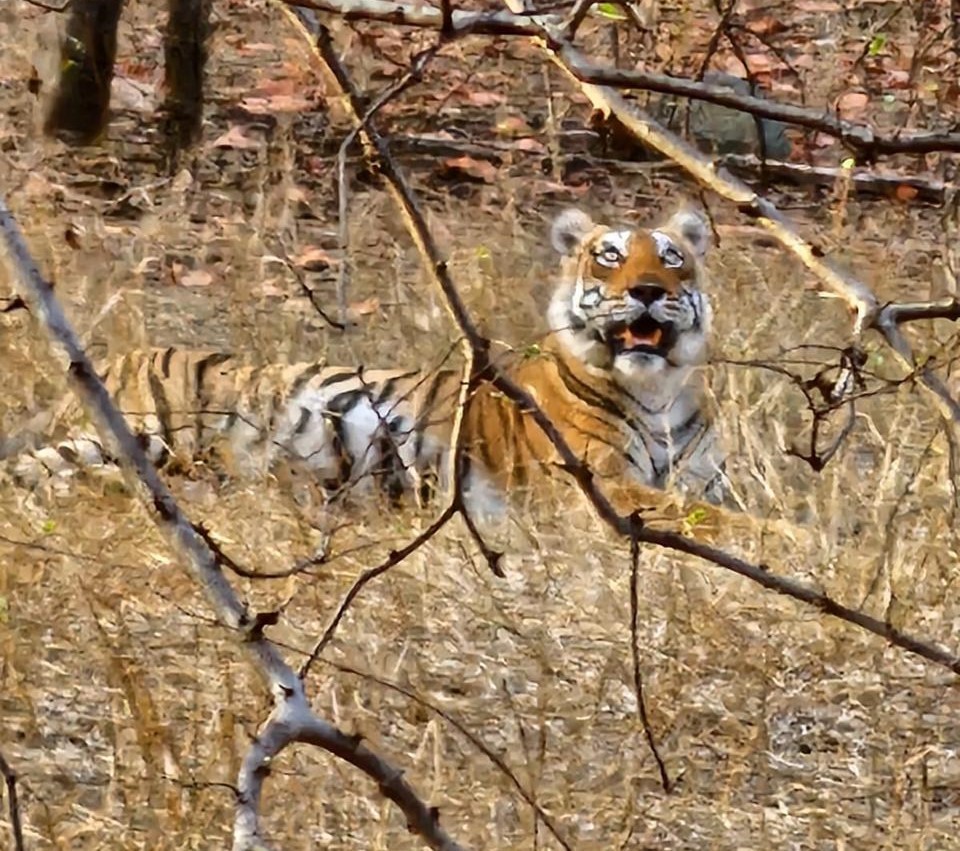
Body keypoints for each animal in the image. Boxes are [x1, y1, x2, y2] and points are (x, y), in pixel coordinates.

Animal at [7, 207, 724, 516]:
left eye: (670, 256)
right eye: (609, 256)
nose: (647, 290)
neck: (659, 391)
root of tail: (113, 360)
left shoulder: (705, 478)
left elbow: (717, 506)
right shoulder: (596, 483)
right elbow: (719, 522)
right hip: (143, 432)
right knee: (32, 471)